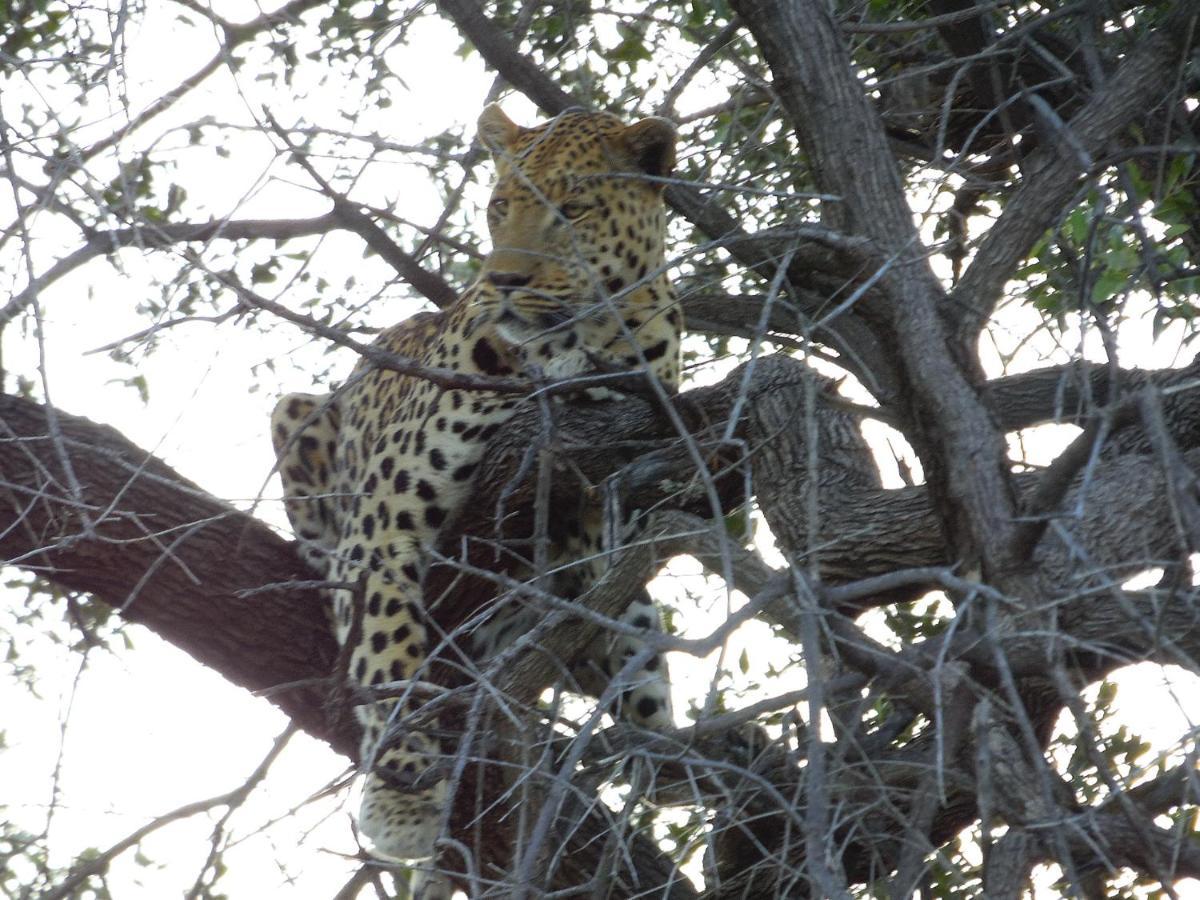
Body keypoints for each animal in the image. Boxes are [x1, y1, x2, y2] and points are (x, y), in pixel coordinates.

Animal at [271, 103, 686, 873]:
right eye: (499, 208)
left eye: (571, 210)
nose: (505, 281)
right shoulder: (385, 525)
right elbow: (387, 649)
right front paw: (403, 796)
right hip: (298, 413)